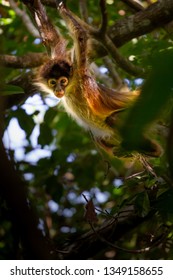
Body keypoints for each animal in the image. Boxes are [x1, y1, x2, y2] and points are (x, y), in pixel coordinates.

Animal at [22, 0, 162, 158]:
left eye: (63, 81)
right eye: (53, 82)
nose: (58, 89)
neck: (71, 89)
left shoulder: (78, 70)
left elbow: (80, 36)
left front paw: (62, 8)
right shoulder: (63, 60)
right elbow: (52, 39)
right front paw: (32, 4)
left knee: (113, 119)